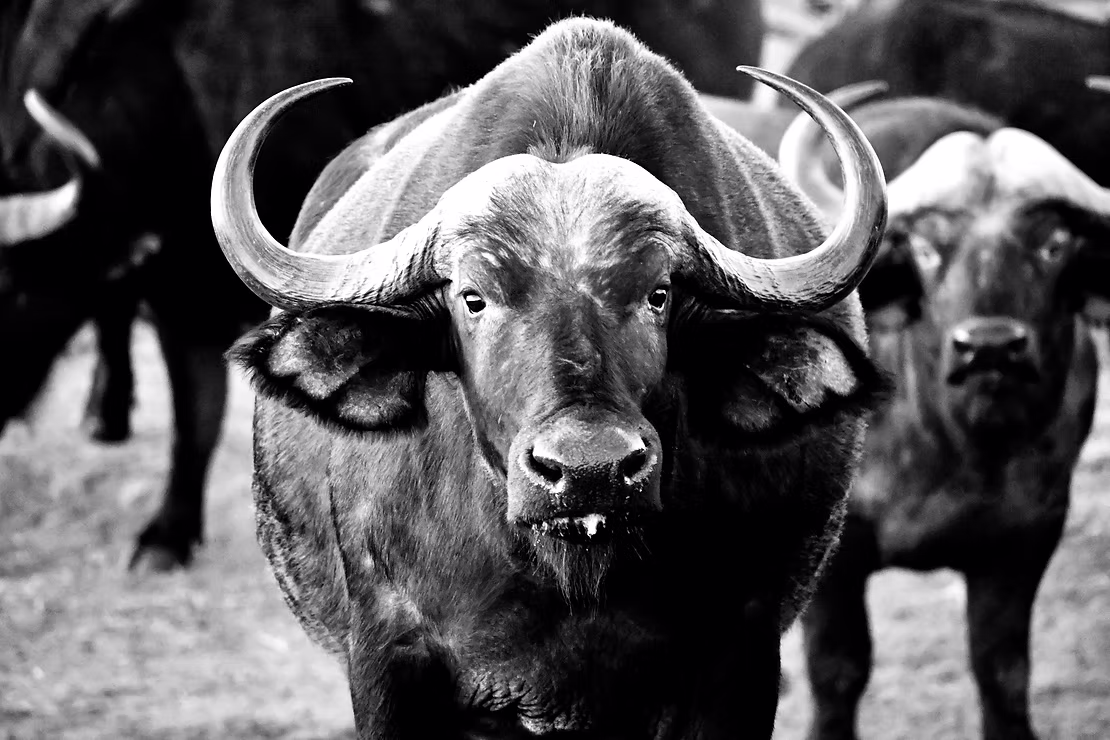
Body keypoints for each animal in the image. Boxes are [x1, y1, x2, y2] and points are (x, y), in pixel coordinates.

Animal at [779, 88, 1110, 740]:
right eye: (928, 249)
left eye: (1054, 245)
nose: (990, 346)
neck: (951, 443)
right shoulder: (833, 557)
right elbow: (838, 673)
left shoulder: (1024, 544)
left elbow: (1002, 674)